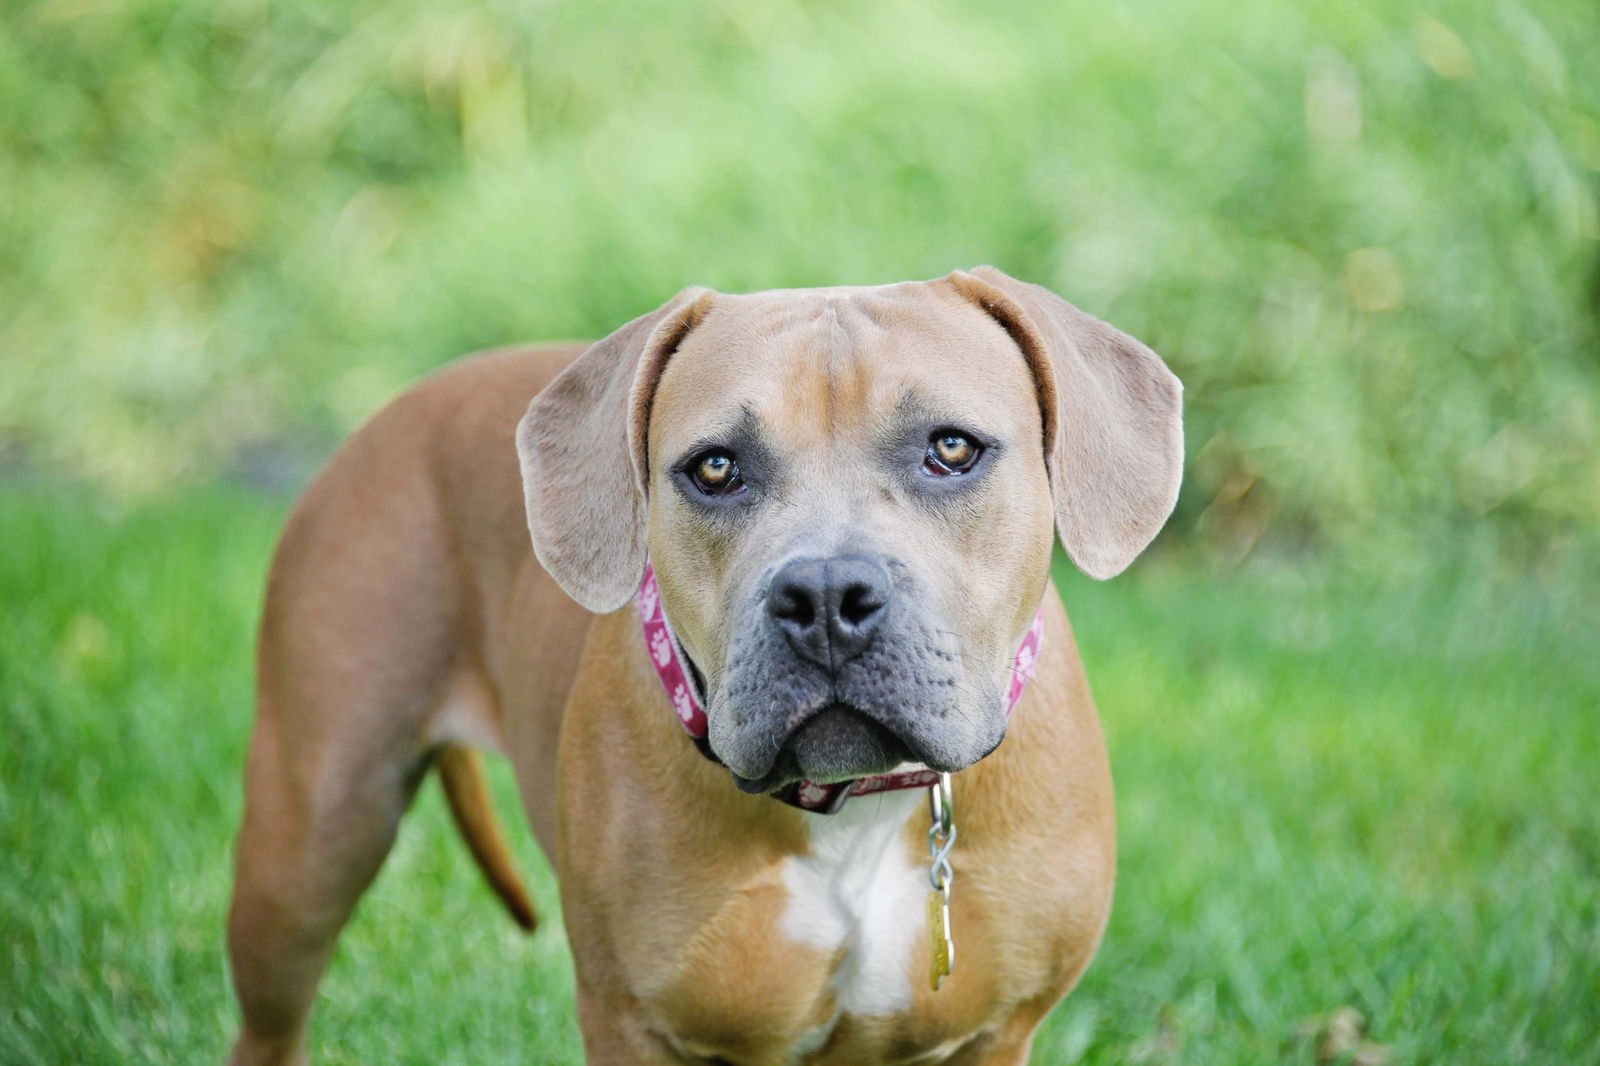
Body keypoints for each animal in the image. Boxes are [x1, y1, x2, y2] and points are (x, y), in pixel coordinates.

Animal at [225, 265, 1184, 1062]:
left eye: (951, 449)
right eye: (716, 468)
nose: (825, 596)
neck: (852, 806)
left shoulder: (992, 1036)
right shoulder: (634, 1026)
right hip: (309, 844)